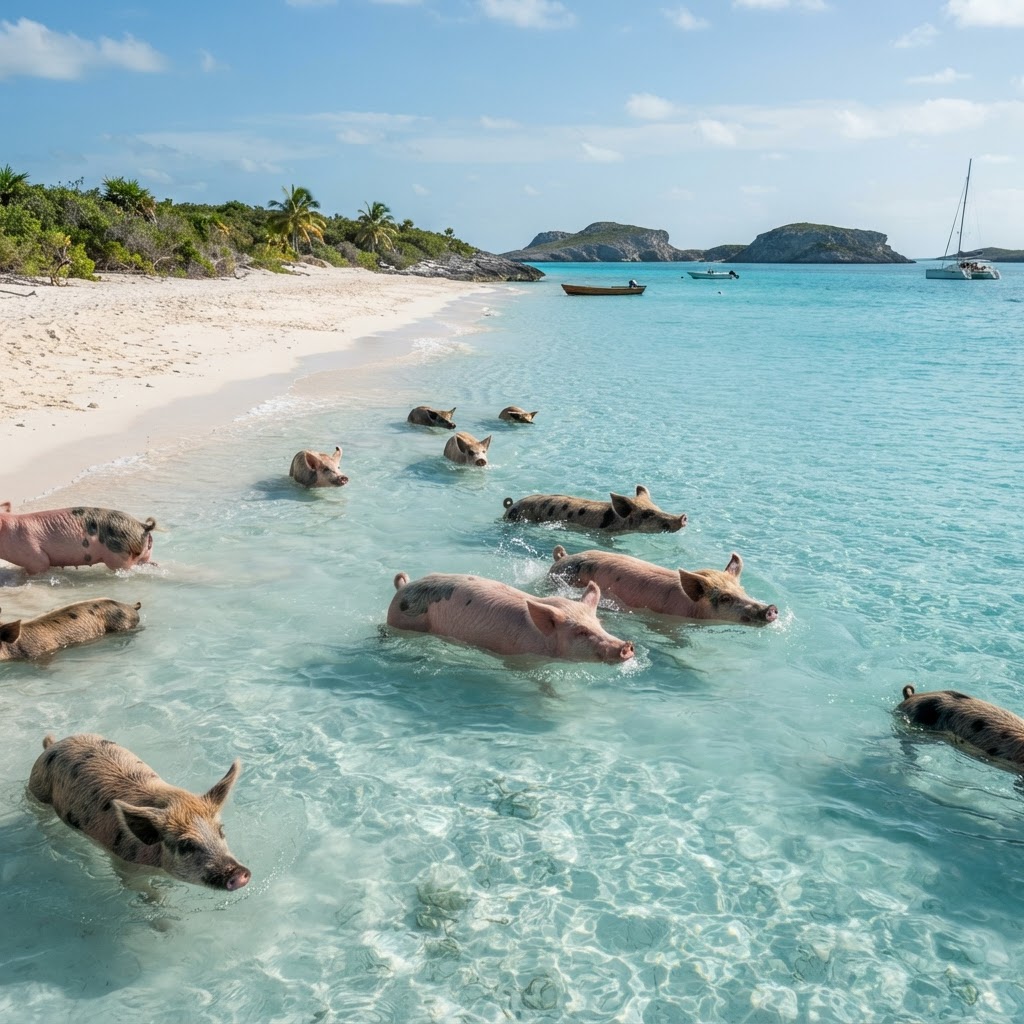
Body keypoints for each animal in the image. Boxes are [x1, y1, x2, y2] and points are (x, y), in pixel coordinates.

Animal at [28, 734, 250, 891]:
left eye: (221, 831)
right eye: (186, 845)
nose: (239, 872)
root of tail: (52, 745)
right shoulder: (126, 867)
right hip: (38, 791)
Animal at [387, 571, 634, 663]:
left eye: (599, 624)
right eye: (581, 631)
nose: (627, 645)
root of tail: (404, 586)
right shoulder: (520, 657)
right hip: (400, 620)